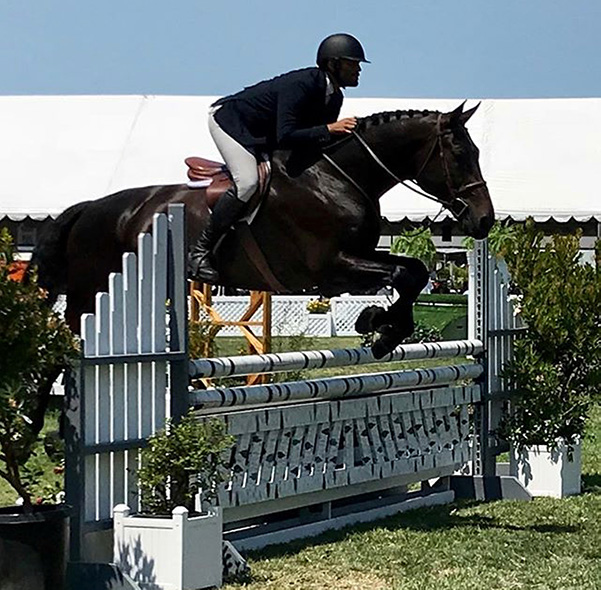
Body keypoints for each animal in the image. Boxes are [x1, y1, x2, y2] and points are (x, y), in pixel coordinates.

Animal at [31, 103, 492, 358]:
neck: (338, 177)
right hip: (91, 290)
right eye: (459, 154)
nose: (485, 220)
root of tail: (90, 209)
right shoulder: (329, 268)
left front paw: (379, 325)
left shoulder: (360, 258)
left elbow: (414, 271)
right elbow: (401, 274)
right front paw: (379, 326)